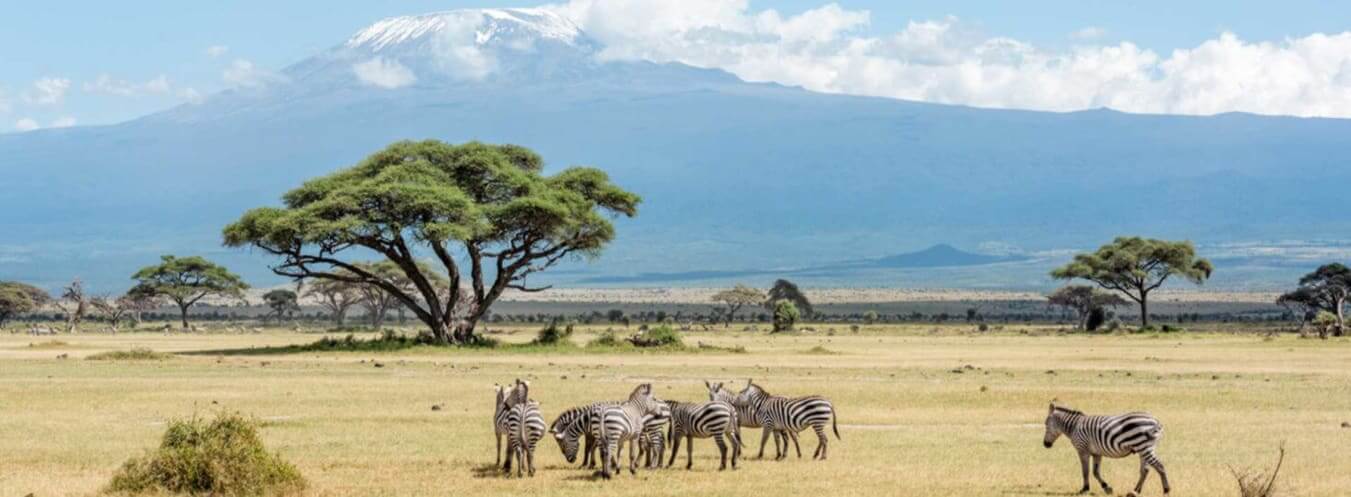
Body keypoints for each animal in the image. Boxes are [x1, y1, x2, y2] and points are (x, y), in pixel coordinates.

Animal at [1042, 402, 1172, 494]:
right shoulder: (1096, 453)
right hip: (1144, 448)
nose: (1045, 445)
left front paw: (1085, 489)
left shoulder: (1082, 449)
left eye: (1046, 424)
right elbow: (1095, 472)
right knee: (1145, 470)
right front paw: (1107, 488)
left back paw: (1166, 490)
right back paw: (1135, 491)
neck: (1074, 427)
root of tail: (1156, 421)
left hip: (1144, 447)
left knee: (1159, 466)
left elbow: (1085, 471)